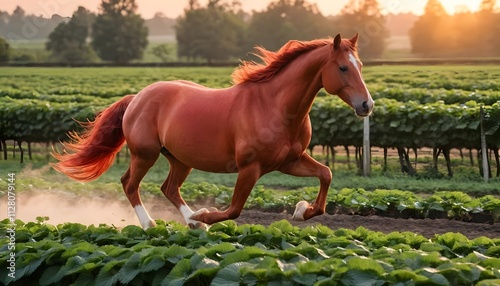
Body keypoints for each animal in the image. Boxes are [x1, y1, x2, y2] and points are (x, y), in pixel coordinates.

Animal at [52, 34, 374, 230]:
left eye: (360, 64)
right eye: (343, 68)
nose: (366, 105)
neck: (275, 106)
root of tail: (137, 97)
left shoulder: (289, 161)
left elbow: (326, 174)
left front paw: (301, 210)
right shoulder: (251, 167)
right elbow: (234, 209)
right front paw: (206, 214)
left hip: (180, 159)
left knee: (168, 188)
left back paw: (193, 222)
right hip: (145, 154)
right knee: (130, 184)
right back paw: (153, 224)